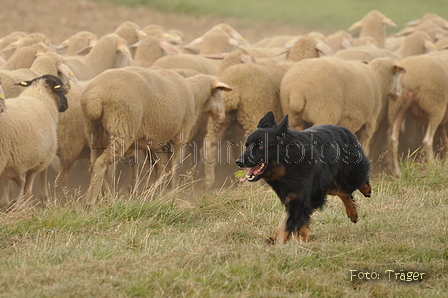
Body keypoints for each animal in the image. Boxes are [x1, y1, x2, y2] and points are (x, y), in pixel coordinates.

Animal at [0, 74, 68, 207]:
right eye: (61, 90)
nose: (66, 105)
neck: (39, 96)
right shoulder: (40, 159)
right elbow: (28, 189)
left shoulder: (14, 163)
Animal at [80, 67, 231, 207]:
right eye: (219, 94)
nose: (222, 117)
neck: (195, 97)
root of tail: (95, 96)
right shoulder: (178, 137)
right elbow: (170, 168)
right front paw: (170, 192)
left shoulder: (152, 142)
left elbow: (158, 167)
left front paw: (151, 192)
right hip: (121, 126)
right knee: (100, 163)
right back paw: (91, 202)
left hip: (94, 131)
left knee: (93, 163)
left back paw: (107, 198)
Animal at [234, 112, 372, 244]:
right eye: (247, 145)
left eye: (261, 147)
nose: (238, 162)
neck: (288, 166)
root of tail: (345, 130)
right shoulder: (295, 197)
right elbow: (292, 222)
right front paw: (296, 240)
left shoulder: (300, 199)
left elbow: (287, 224)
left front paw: (279, 241)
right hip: (325, 185)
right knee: (342, 192)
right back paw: (352, 212)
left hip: (348, 175)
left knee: (356, 181)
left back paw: (366, 190)